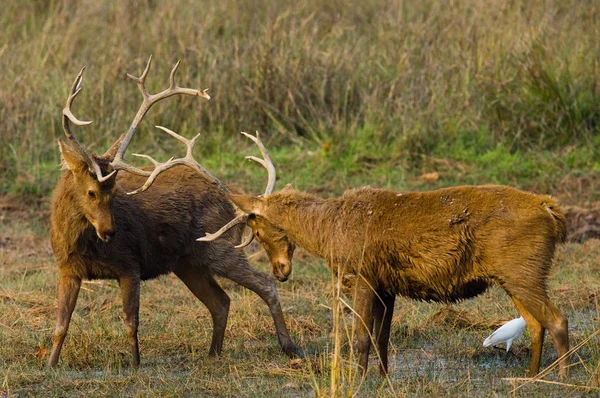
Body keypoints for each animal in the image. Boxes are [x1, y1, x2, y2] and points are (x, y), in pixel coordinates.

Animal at [48, 56, 298, 366]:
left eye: (115, 191)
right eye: (91, 192)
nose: (109, 231)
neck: (81, 243)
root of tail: (233, 195)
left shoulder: (130, 263)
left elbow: (131, 321)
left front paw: (136, 364)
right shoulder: (67, 269)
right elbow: (60, 324)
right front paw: (50, 364)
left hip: (221, 248)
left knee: (266, 284)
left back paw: (288, 345)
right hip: (188, 262)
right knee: (221, 301)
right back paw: (213, 352)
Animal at [199, 155, 568, 380]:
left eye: (257, 230)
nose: (281, 271)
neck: (327, 229)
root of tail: (552, 210)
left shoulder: (362, 275)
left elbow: (362, 337)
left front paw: (358, 378)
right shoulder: (386, 285)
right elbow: (382, 338)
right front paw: (382, 376)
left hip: (524, 270)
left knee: (557, 320)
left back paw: (561, 376)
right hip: (516, 274)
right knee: (536, 323)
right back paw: (531, 374)